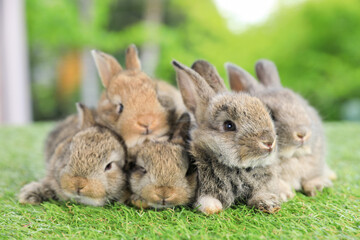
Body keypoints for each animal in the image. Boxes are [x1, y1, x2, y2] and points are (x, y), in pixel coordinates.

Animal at [228, 60, 334, 201]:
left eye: (303, 106)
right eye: (271, 115)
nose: (302, 134)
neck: (292, 157)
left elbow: (312, 177)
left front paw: (319, 188)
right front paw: (285, 195)